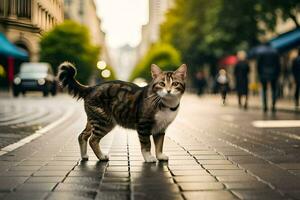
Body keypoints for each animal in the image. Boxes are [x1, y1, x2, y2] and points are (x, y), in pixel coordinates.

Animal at [57, 62, 186, 162]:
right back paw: (101, 156)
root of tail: (91, 87)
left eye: (175, 83)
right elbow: (146, 144)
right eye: (162, 84)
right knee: (93, 140)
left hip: (94, 119)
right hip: (104, 121)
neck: (167, 105)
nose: (168, 91)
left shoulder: (161, 128)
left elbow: (159, 145)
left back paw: (84, 155)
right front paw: (149, 158)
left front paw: (160, 156)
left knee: (82, 136)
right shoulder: (144, 125)